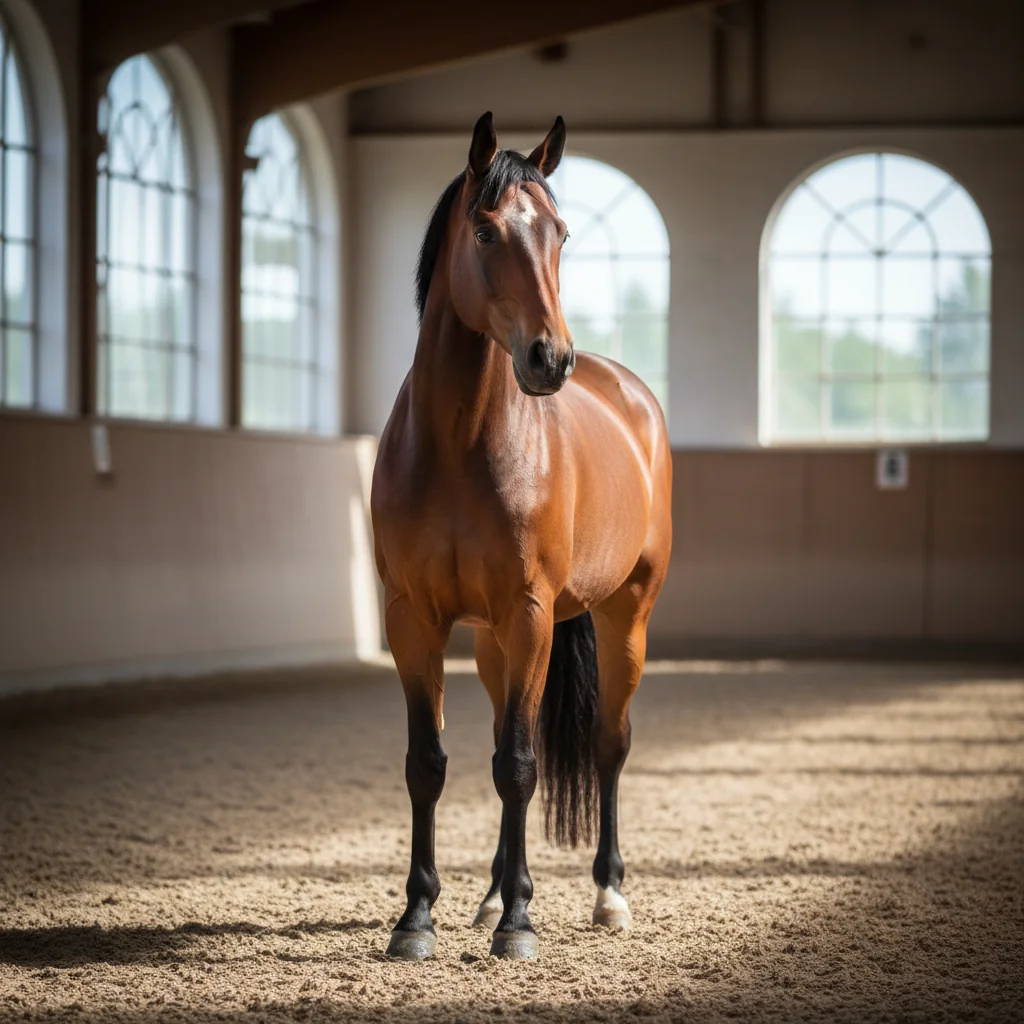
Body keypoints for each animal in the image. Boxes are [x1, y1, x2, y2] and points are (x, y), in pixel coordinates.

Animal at [370, 112, 672, 960]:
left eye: (561, 233)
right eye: (485, 229)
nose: (549, 358)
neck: (458, 443)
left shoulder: (531, 611)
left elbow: (519, 765)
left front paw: (520, 924)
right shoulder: (414, 619)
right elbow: (429, 763)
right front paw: (418, 917)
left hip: (624, 617)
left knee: (608, 743)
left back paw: (606, 895)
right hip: (495, 643)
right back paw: (492, 893)